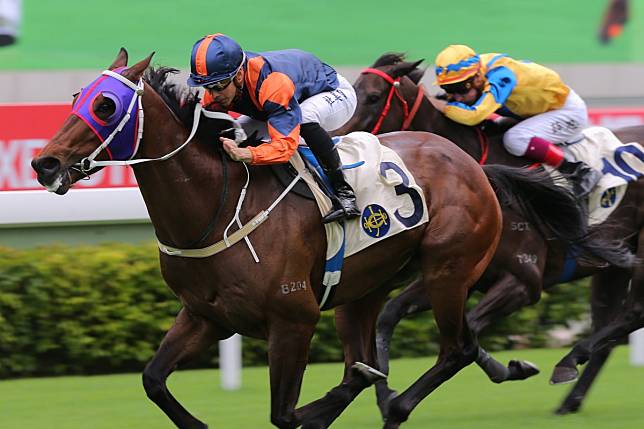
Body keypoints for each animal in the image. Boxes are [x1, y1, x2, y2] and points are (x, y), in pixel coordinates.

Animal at [28, 49, 544, 424]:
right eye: (76, 96)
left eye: (105, 105)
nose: (44, 163)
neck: (216, 207)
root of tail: (470, 163)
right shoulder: (205, 315)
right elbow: (153, 379)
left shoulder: (293, 321)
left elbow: (283, 414)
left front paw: (310, 414)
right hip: (365, 289)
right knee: (371, 363)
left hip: (448, 270)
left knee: (456, 347)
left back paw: (393, 404)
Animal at [334, 52, 640, 414]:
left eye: (373, 97)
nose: (338, 140)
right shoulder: (454, 274)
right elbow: (390, 314)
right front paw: (384, 392)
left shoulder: (523, 282)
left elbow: (472, 330)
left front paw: (509, 368)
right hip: (612, 269)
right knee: (610, 329)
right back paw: (570, 398)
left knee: (632, 315)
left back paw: (568, 363)